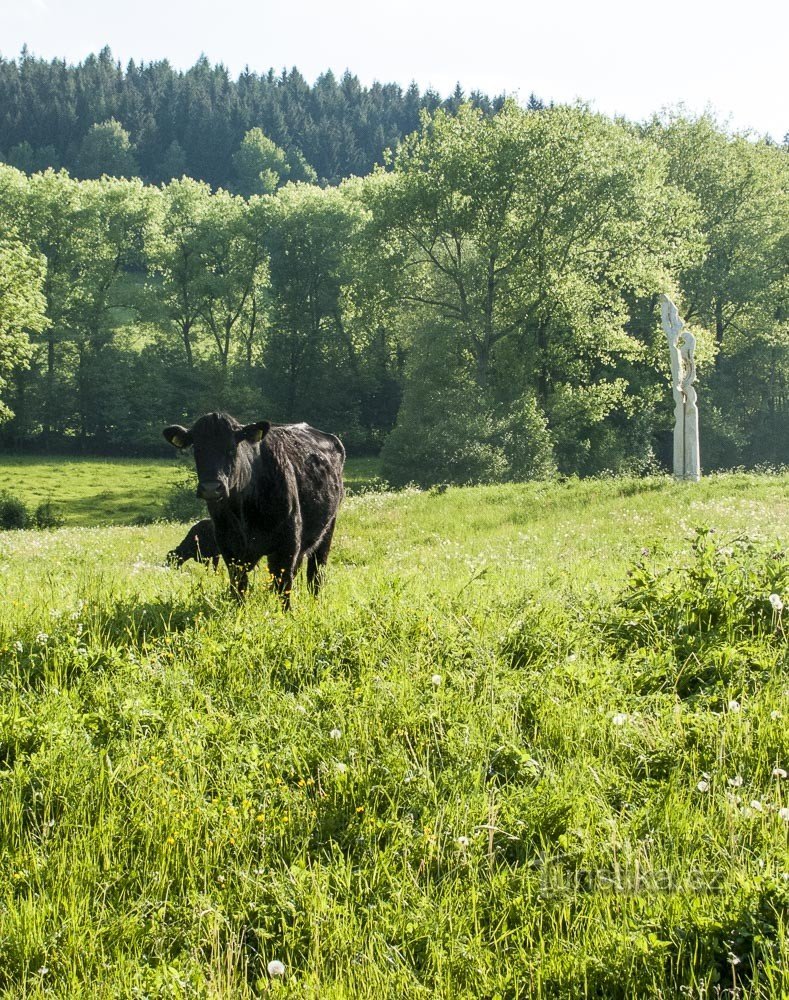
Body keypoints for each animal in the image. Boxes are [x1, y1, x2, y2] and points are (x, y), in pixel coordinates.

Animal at [162, 412, 344, 604]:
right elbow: (239, 585)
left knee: (315, 573)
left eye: (232, 449)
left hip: (327, 529)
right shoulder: (227, 545)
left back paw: (316, 601)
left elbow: (284, 586)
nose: (211, 488)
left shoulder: (288, 543)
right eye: (197, 450)